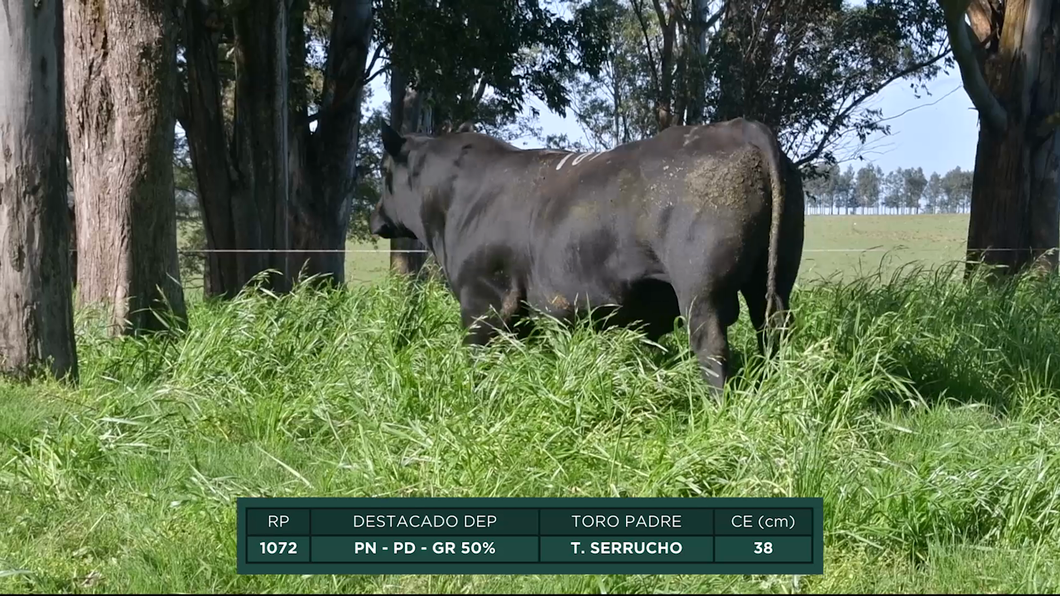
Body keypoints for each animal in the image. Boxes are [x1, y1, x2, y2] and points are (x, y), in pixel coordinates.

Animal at [370, 118, 801, 392]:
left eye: (384, 173)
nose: (376, 218)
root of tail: (738, 125)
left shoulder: (483, 303)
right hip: (773, 282)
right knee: (774, 330)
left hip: (701, 291)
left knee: (712, 348)